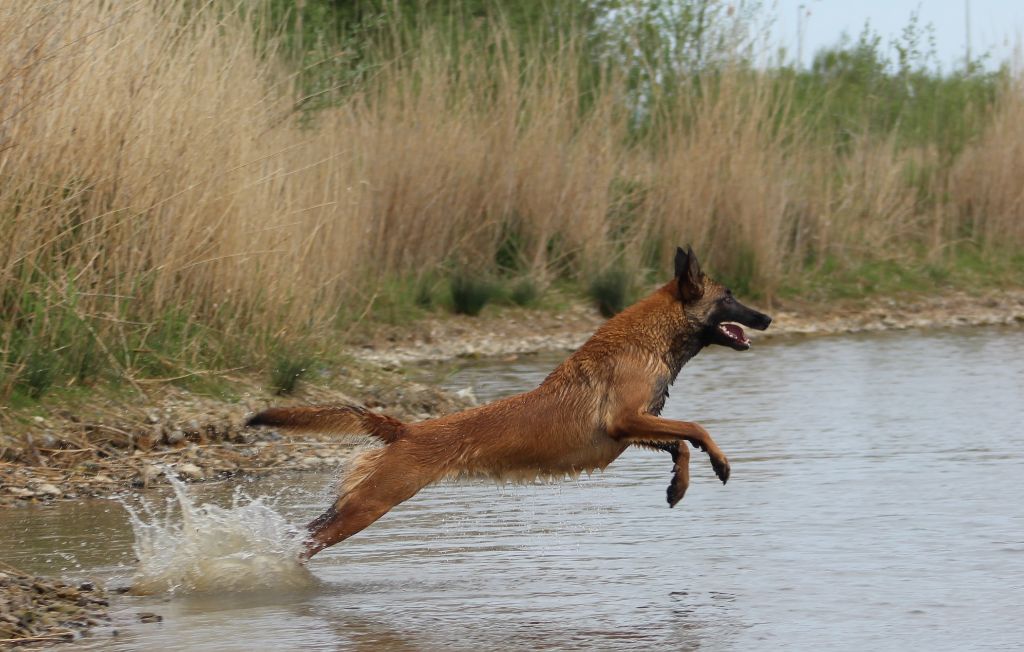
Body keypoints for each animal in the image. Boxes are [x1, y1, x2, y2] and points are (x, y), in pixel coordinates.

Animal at [247, 246, 770, 556]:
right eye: (730, 297)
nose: (766, 318)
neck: (649, 340)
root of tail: (406, 428)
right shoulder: (625, 422)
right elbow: (697, 429)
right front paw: (720, 463)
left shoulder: (634, 428)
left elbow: (680, 442)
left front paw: (678, 486)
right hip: (373, 503)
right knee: (310, 539)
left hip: (358, 500)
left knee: (307, 529)